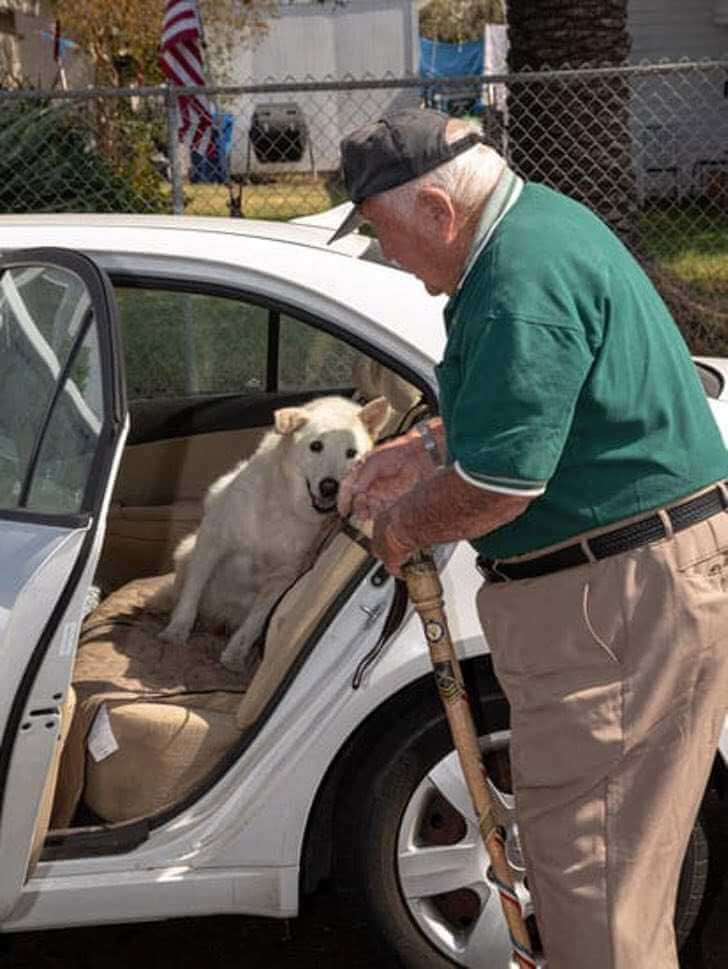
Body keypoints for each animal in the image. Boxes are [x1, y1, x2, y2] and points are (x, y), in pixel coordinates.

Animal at [157, 394, 390, 672]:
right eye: (316, 446)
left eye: (351, 453)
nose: (330, 487)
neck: (286, 506)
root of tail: (219, 616)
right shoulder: (212, 543)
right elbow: (192, 594)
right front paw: (177, 630)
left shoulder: (281, 580)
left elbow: (254, 624)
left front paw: (235, 656)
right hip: (187, 551)